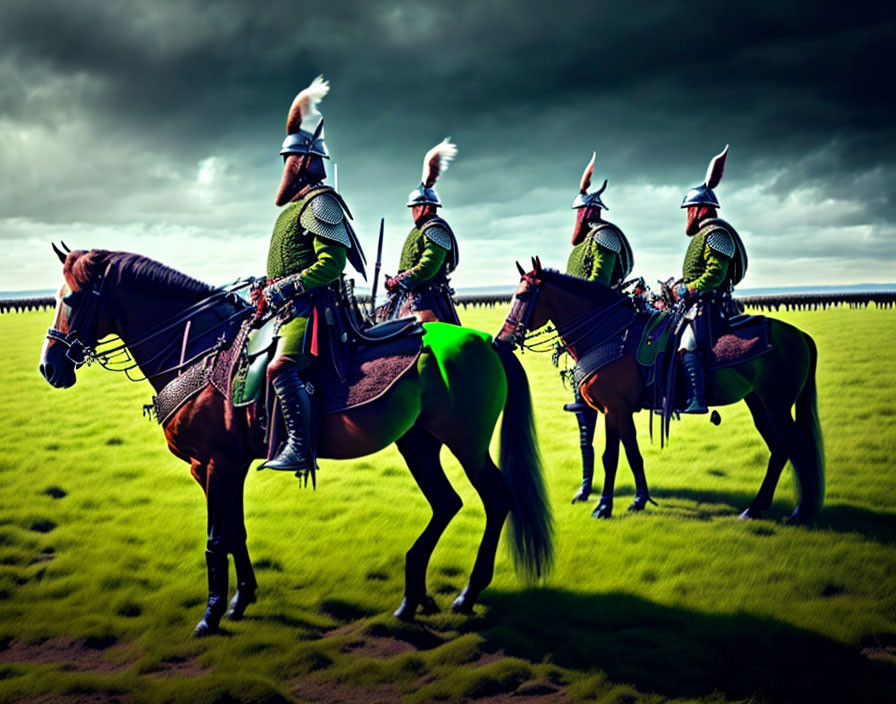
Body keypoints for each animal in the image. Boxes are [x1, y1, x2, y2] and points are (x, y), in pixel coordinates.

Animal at [40, 249, 552, 640]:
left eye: (72, 298)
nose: (50, 366)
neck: (198, 350)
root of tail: (486, 341)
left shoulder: (214, 464)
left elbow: (215, 539)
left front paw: (210, 616)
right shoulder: (225, 467)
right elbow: (236, 531)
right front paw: (241, 599)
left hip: (466, 444)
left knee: (496, 499)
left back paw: (466, 593)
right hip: (418, 443)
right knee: (447, 503)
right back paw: (412, 598)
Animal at [496, 258, 824, 524]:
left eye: (522, 296)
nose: (501, 341)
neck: (608, 332)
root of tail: (800, 334)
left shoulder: (613, 409)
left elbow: (611, 456)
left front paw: (603, 507)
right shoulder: (618, 412)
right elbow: (632, 452)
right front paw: (639, 500)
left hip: (777, 407)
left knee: (798, 447)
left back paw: (801, 513)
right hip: (760, 406)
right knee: (780, 450)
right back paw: (755, 509)